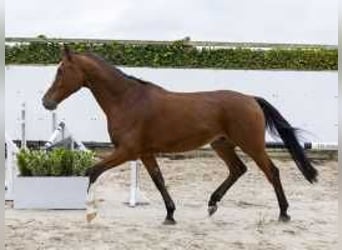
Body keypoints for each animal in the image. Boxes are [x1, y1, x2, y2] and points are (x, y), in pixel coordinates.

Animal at [42, 46, 318, 226]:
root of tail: (251, 99)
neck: (127, 100)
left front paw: (87, 212)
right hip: (222, 145)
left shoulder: (127, 151)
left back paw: (283, 213)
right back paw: (212, 204)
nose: (47, 102)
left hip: (252, 144)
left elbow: (92, 171)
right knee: (238, 169)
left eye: (61, 70)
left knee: (272, 171)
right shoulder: (144, 153)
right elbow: (159, 180)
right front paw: (170, 214)